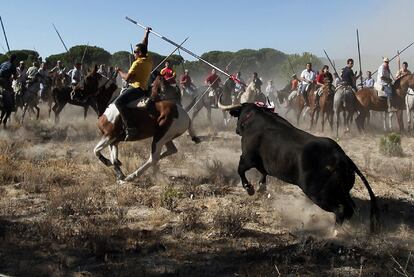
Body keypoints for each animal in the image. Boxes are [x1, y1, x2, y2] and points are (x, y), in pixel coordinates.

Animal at [222, 101, 380, 231]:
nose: (236, 130)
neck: (255, 119)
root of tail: (340, 156)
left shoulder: (247, 158)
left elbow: (241, 170)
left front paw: (250, 189)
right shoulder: (263, 164)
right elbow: (263, 174)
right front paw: (261, 188)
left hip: (319, 194)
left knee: (341, 209)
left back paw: (334, 232)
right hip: (341, 191)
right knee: (350, 208)